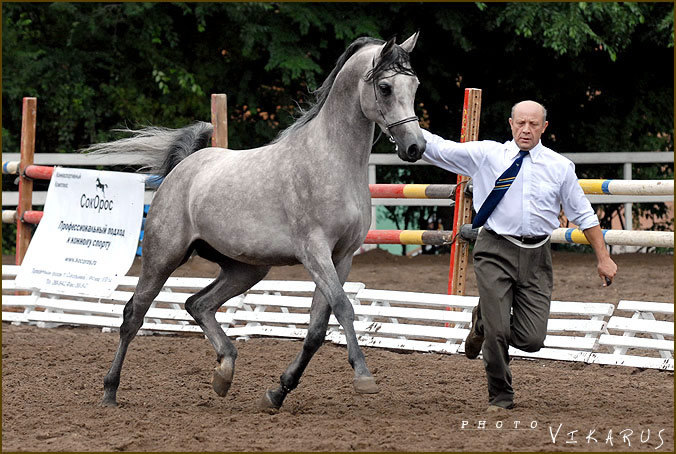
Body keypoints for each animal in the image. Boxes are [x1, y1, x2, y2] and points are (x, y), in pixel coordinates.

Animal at [88, 31, 428, 408]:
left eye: (414, 85)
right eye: (384, 87)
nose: (415, 147)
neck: (331, 160)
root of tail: (184, 167)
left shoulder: (342, 258)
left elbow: (316, 328)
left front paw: (277, 393)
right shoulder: (315, 254)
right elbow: (343, 308)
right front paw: (364, 376)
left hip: (246, 269)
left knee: (198, 304)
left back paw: (224, 372)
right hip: (162, 258)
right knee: (133, 315)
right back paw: (109, 391)